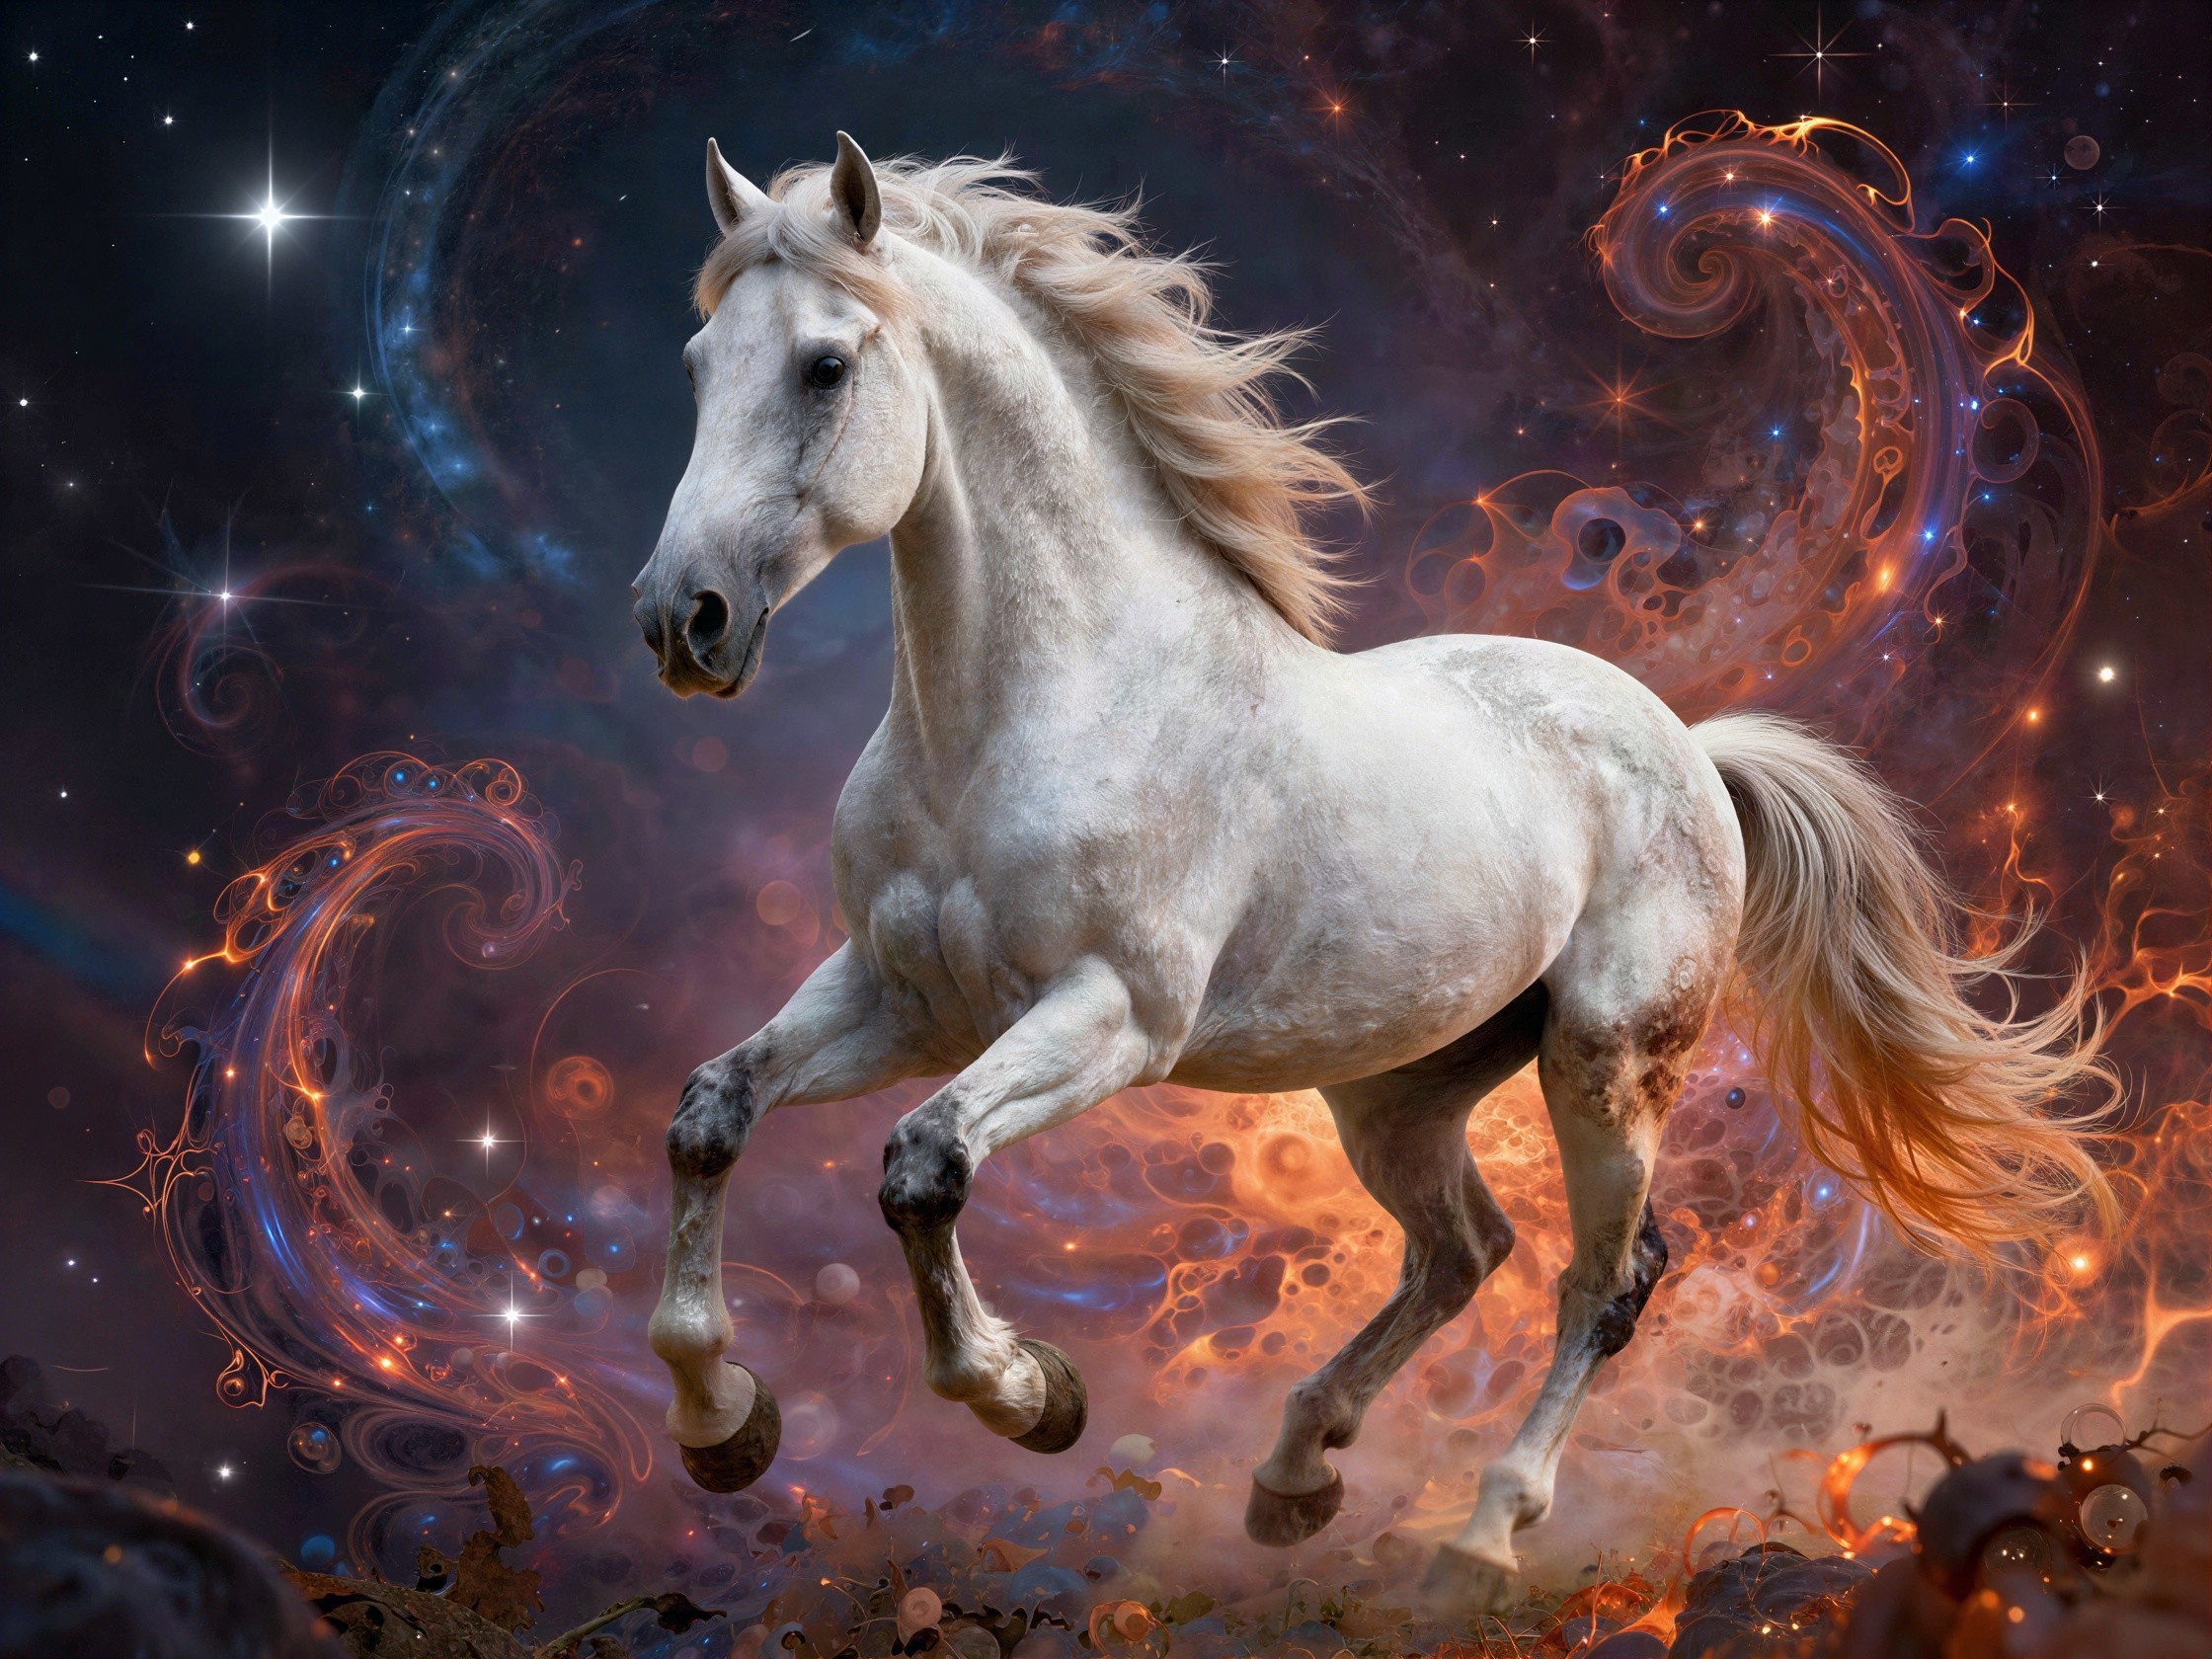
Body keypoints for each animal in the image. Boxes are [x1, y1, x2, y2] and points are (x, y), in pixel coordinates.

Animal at [629, 133, 2113, 1611]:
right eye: (695, 363)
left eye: (826, 365)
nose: (679, 621)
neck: (1038, 710)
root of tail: (1689, 744)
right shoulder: (898, 996)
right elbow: (710, 1115)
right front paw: (723, 1421)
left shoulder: (1115, 1016)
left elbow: (923, 1167)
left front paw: (1029, 1393)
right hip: (1395, 1088)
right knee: (1466, 1251)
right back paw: (1296, 1475)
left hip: (1607, 1064)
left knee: (1602, 1278)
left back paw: (1480, 1531)